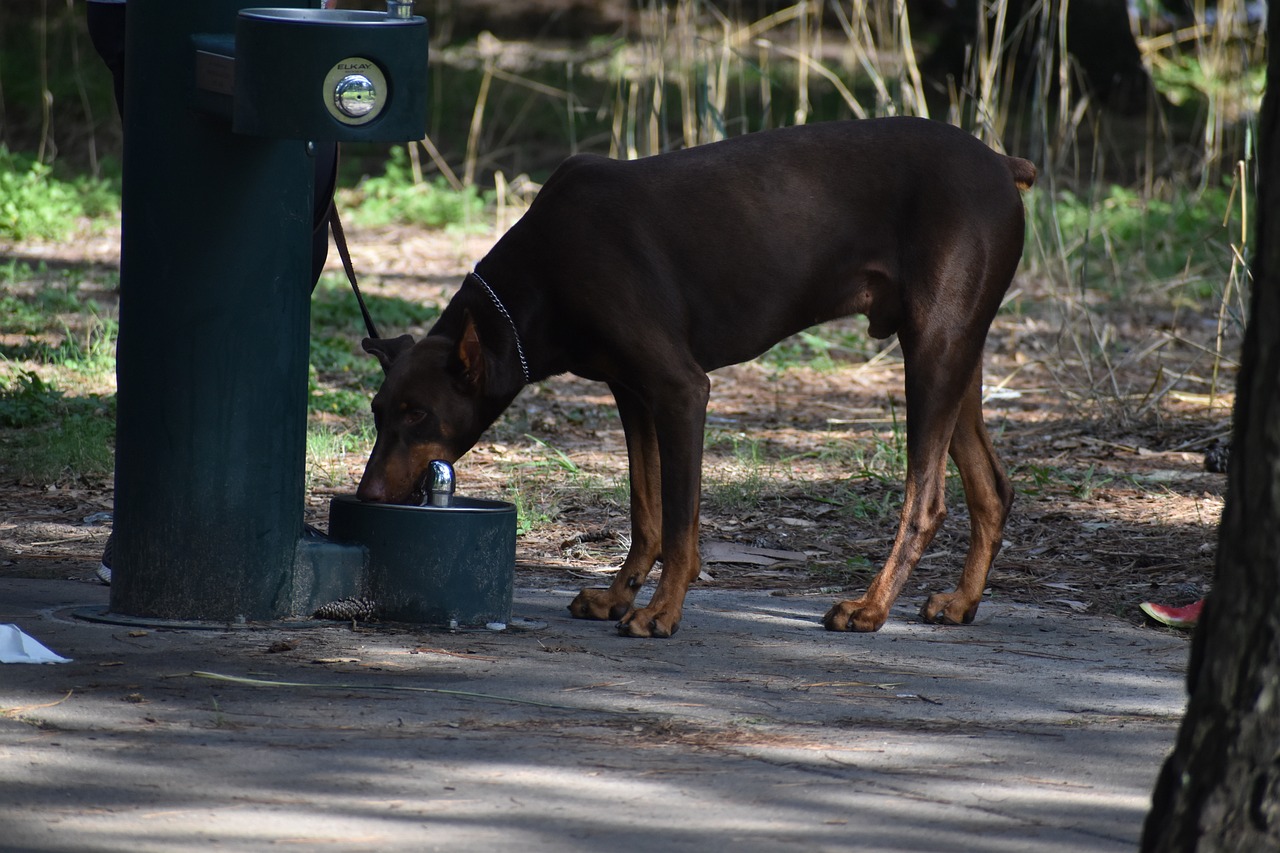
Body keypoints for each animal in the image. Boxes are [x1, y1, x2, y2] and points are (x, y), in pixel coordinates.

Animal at [355, 119, 1034, 637]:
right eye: (379, 411)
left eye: (418, 413)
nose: (366, 496)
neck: (540, 278)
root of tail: (1001, 163)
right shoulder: (632, 392)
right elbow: (646, 508)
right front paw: (617, 596)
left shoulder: (681, 389)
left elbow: (681, 522)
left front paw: (660, 612)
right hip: (954, 353)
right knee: (992, 489)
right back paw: (961, 602)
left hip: (933, 348)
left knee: (928, 499)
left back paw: (871, 607)